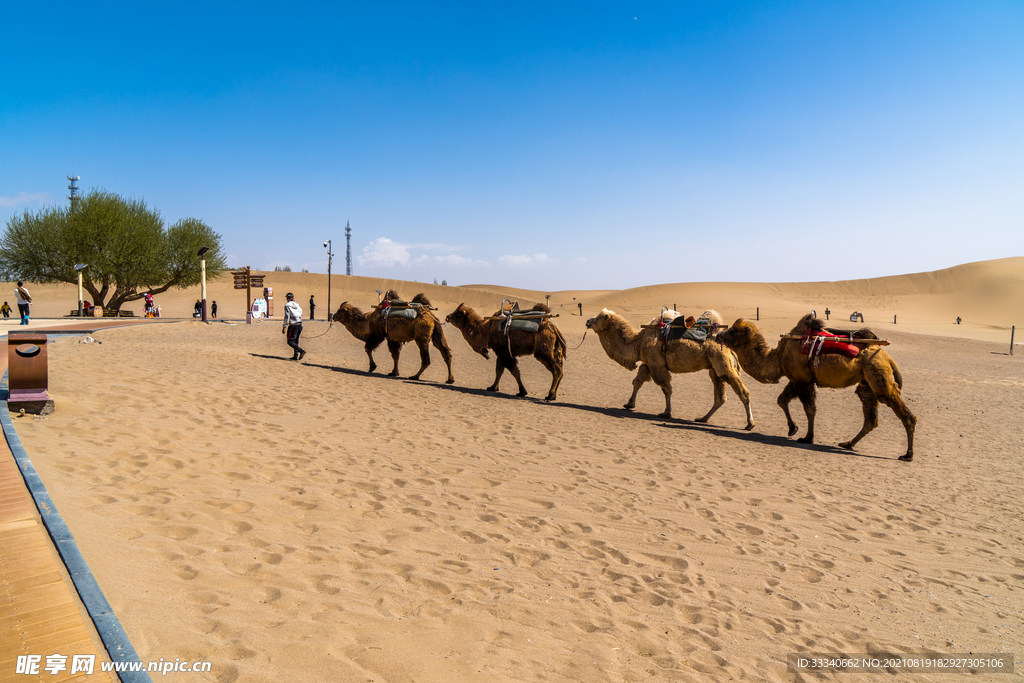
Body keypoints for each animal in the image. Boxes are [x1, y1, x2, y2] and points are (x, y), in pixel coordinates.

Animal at [585, 309, 753, 428]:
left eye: (598, 318)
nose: (587, 321)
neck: (638, 342)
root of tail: (729, 348)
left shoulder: (657, 365)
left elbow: (666, 389)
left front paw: (666, 413)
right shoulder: (648, 364)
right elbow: (637, 382)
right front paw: (629, 404)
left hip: (721, 362)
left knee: (742, 392)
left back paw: (749, 424)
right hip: (714, 367)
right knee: (720, 396)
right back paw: (703, 418)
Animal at [712, 313, 921, 462]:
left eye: (733, 332)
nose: (718, 335)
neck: (777, 356)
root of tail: (887, 357)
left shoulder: (803, 380)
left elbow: (809, 409)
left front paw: (807, 437)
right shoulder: (797, 378)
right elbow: (782, 400)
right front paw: (793, 429)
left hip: (878, 376)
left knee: (904, 414)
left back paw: (907, 455)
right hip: (866, 384)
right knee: (870, 418)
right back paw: (847, 443)